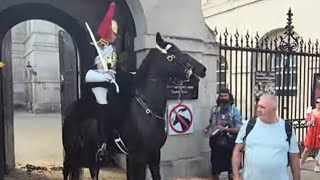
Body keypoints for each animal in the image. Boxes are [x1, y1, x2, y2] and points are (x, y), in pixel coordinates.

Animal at [62, 32, 206, 180]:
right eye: (173, 54)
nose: (202, 69)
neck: (147, 109)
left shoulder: (154, 155)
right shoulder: (137, 157)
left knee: (92, 170)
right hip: (71, 151)